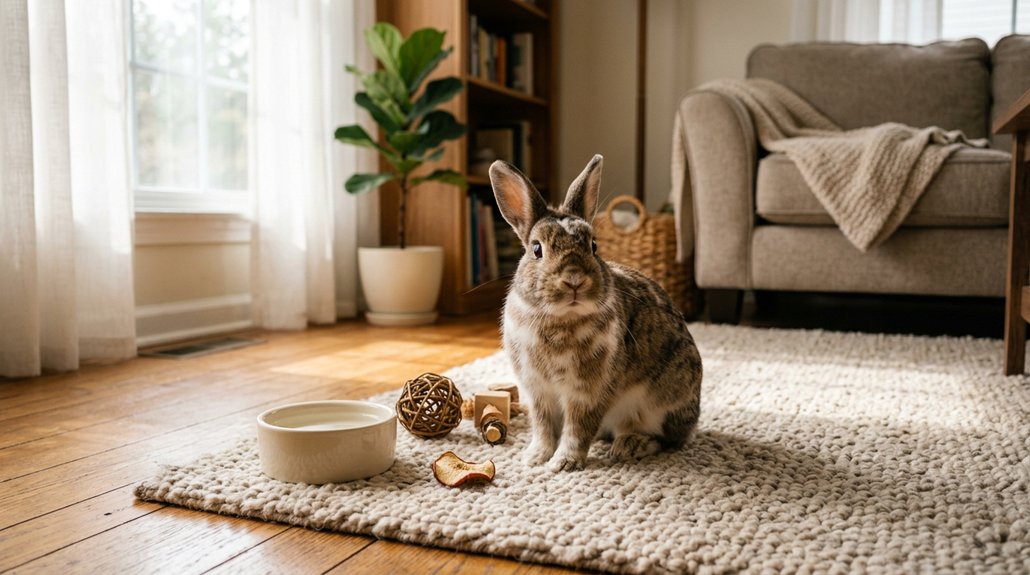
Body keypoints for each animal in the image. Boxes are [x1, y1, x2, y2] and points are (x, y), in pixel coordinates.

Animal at [489, 154, 703, 472]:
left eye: (594, 246)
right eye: (536, 249)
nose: (574, 280)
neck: (559, 318)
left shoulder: (588, 393)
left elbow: (577, 429)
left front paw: (564, 463)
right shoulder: (538, 392)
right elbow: (543, 427)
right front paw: (535, 458)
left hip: (664, 401)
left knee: (669, 440)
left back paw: (630, 445)